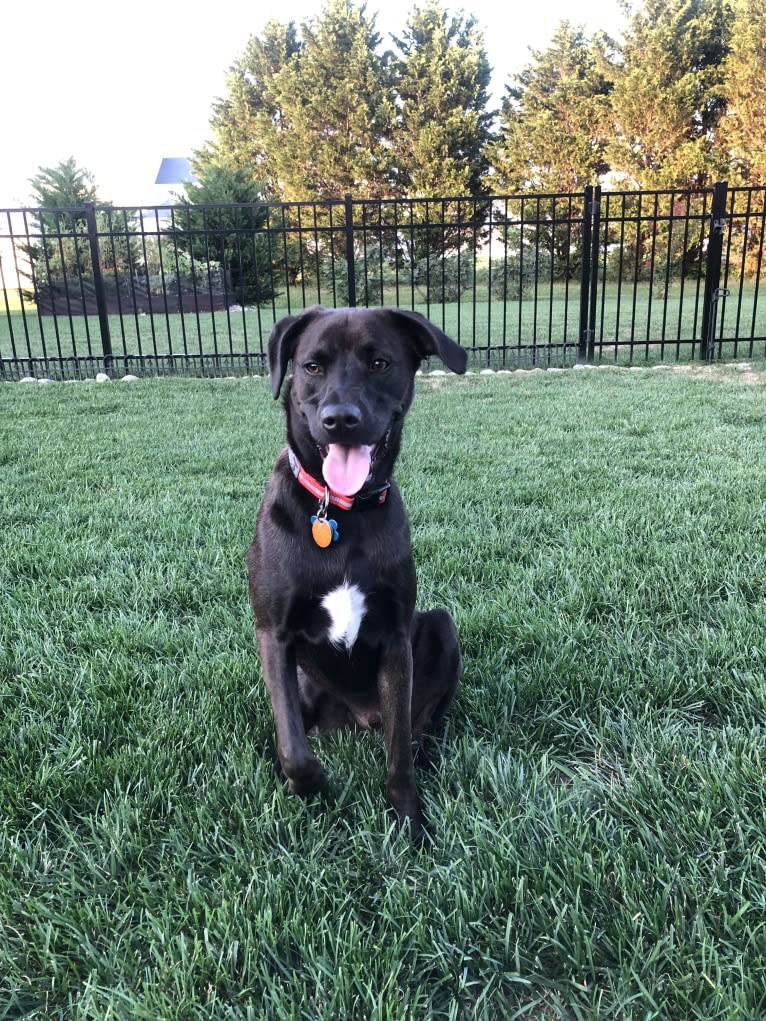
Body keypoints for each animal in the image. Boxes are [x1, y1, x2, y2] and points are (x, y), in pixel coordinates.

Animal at [249, 306, 467, 841]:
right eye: (312, 366)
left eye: (379, 362)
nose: (340, 420)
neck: (339, 514)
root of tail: (356, 720)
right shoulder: (273, 634)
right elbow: (294, 748)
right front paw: (313, 785)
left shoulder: (395, 639)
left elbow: (399, 752)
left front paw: (410, 825)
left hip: (442, 626)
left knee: (418, 730)